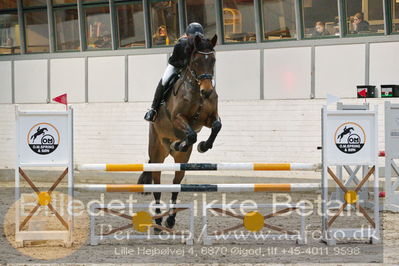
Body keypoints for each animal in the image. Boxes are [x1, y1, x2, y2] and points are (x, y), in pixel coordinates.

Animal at [139, 34, 222, 232]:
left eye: (213, 60)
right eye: (197, 61)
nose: (207, 91)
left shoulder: (208, 118)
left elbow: (216, 126)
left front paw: (203, 146)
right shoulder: (178, 118)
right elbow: (191, 134)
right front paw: (185, 142)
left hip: (181, 162)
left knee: (176, 184)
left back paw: (170, 220)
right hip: (157, 154)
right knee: (157, 186)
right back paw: (158, 222)